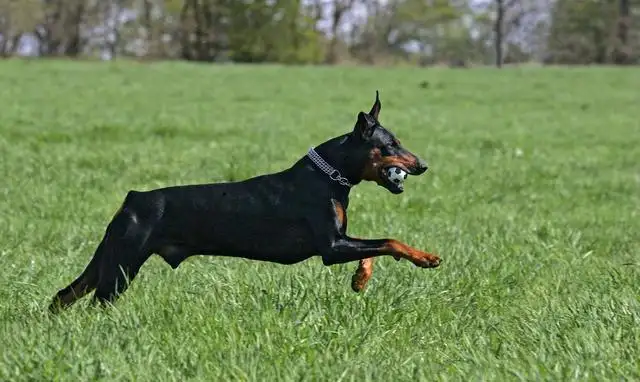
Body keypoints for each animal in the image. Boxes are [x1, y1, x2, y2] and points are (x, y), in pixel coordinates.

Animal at [48, 91, 440, 312]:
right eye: (391, 145)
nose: (422, 165)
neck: (329, 177)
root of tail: (131, 200)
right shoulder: (330, 246)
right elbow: (389, 241)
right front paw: (426, 258)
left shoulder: (340, 241)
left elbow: (375, 250)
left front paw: (360, 280)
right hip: (121, 267)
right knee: (93, 304)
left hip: (108, 259)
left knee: (62, 296)